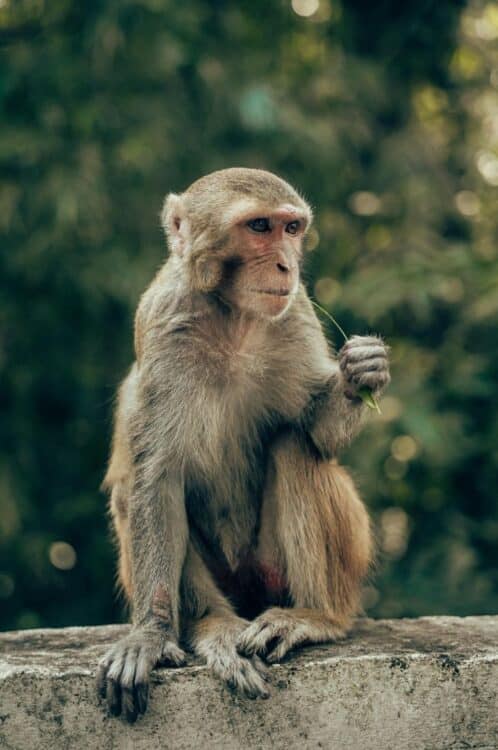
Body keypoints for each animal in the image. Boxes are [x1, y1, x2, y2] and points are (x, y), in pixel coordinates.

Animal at [97, 168, 390, 722]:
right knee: (135, 490)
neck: (231, 314)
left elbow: (315, 429)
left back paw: (317, 616)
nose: (285, 264)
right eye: (259, 227)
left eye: (292, 228)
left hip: (289, 570)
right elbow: (155, 477)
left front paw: (357, 375)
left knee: (294, 447)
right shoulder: (164, 323)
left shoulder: (296, 313)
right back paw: (213, 626)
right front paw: (150, 634)